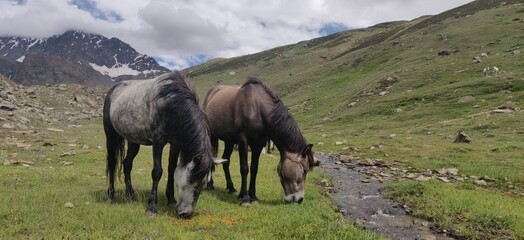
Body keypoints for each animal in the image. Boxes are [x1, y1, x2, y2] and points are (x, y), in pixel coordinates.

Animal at [103, 71, 220, 218]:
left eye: (203, 183)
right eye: (192, 180)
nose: (185, 214)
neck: (170, 101)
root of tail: (112, 91)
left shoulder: (175, 144)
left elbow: (171, 168)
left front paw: (171, 199)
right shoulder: (158, 142)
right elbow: (157, 172)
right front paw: (152, 206)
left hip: (133, 141)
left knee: (127, 163)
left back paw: (131, 195)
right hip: (111, 136)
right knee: (112, 163)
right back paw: (111, 195)